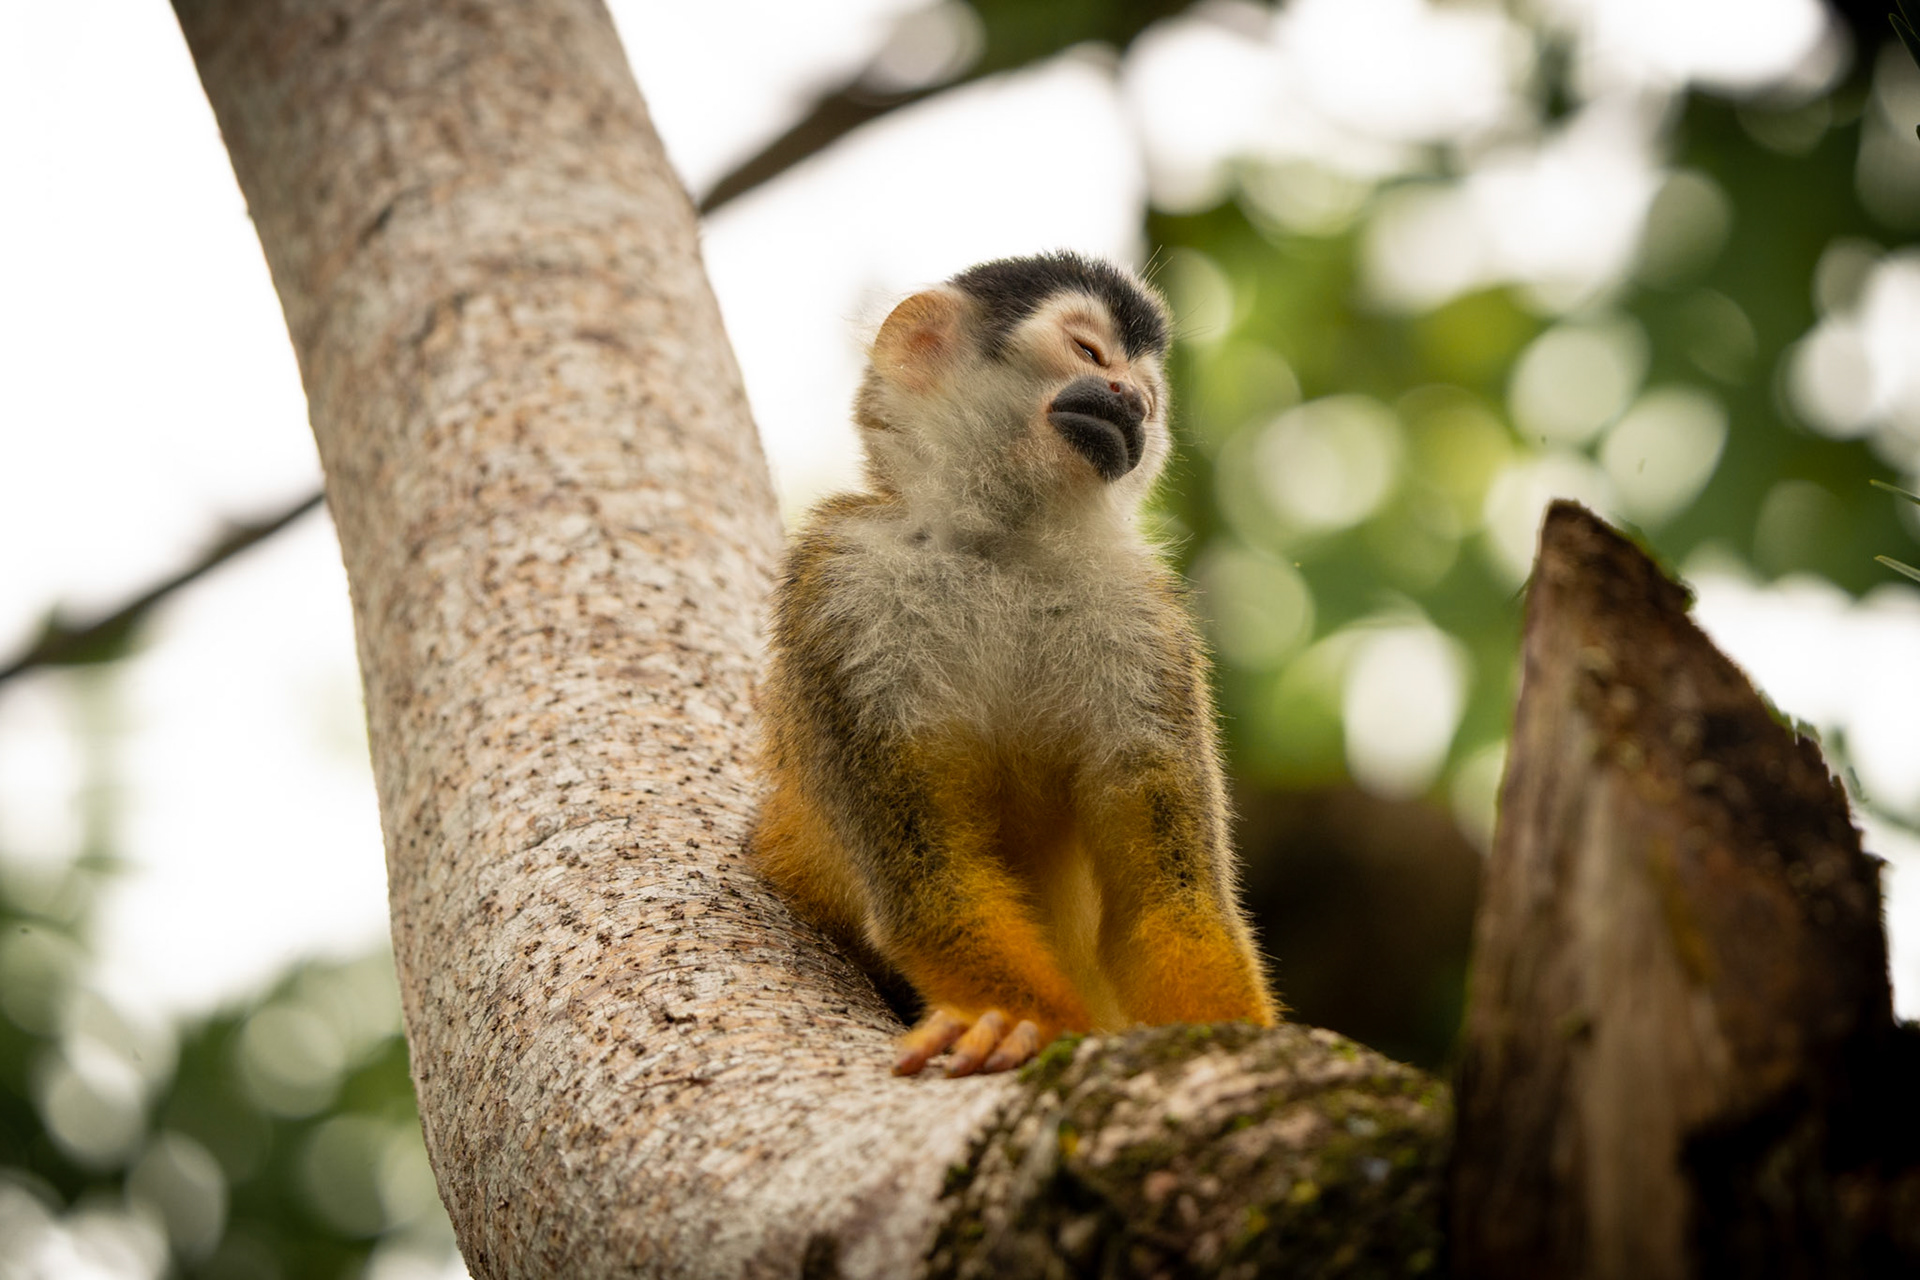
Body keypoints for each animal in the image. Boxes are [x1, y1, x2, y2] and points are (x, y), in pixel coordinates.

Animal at [750, 251, 1278, 1077]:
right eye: (1090, 352)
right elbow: (928, 886)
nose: (1134, 401)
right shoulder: (840, 589)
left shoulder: (1148, 623)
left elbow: (1169, 905)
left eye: (1151, 394)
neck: (1006, 547)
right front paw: (1028, 1028)